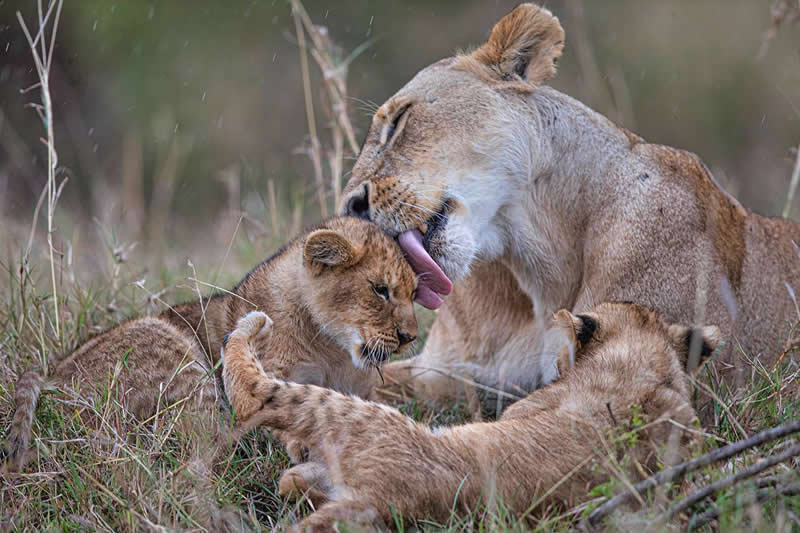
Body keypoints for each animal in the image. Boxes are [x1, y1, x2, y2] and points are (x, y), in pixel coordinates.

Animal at [3, 216, 417, 471]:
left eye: (414, 293)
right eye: (380, 290)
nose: (410, 336)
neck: (333, 347)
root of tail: (54, 373)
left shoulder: (361, 388)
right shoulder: (270, 375)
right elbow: (278, 408)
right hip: (172, 347)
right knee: (202, 446)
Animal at [222, 302, 721, 530]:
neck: (645, 367)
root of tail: (389, 500)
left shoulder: (524, 406)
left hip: (363, 418)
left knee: (255, 396)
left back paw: (253, 327)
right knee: (293, 484)